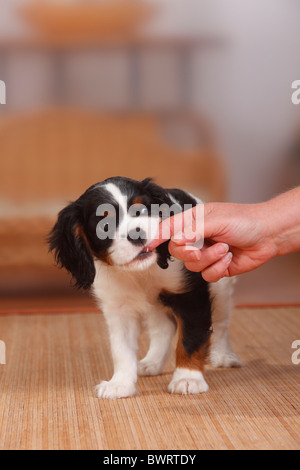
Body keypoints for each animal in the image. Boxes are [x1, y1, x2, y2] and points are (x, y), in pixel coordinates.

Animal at [49, 178, 241, 398]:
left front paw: (187, 378)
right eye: (105, 225)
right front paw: (120, 383)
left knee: (221, 323)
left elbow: (190, 338)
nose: (136, 234)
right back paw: (152, 362)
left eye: (141, 210)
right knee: (164, 328)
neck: (141, 272)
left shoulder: (190, 295)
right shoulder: (119, 308)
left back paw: (224, 355)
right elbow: (121, 349)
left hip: (221, 283)